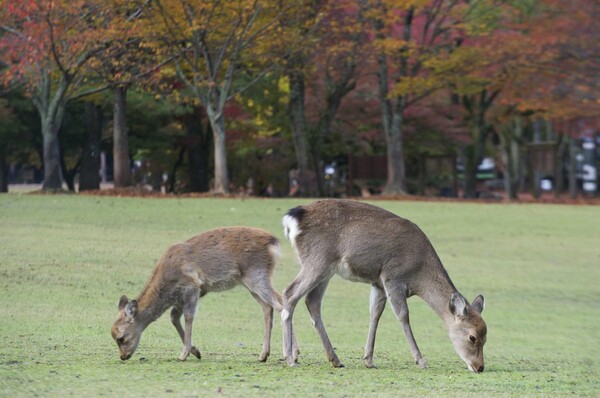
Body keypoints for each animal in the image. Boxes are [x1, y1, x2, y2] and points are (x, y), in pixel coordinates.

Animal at [110, 225, 298, 362]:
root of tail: (274, 243)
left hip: (256, 275)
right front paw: (195, 351)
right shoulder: (188, 295)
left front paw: (183, 354)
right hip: (250, 283)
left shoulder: (191, 286)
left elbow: (188, 317)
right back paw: (264, 355)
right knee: (268, 307)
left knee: (280, 303)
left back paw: (292, 354)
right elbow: (173, 318)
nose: (123, 356)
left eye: (121, 338)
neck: (167, 284)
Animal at [282, 201, 488, 372]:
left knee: (311, 301)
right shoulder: (392, 277)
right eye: (472, 337)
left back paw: (335, 359)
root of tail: (292, 218)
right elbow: (403, 315)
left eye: (486, 337)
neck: (418, 274)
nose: (479, 367)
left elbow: (375, 314)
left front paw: (369, 360)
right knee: (289, 293)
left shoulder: (378, 283)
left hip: (325, 269)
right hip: (317, 260)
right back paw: (290, 358)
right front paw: (420, 361)